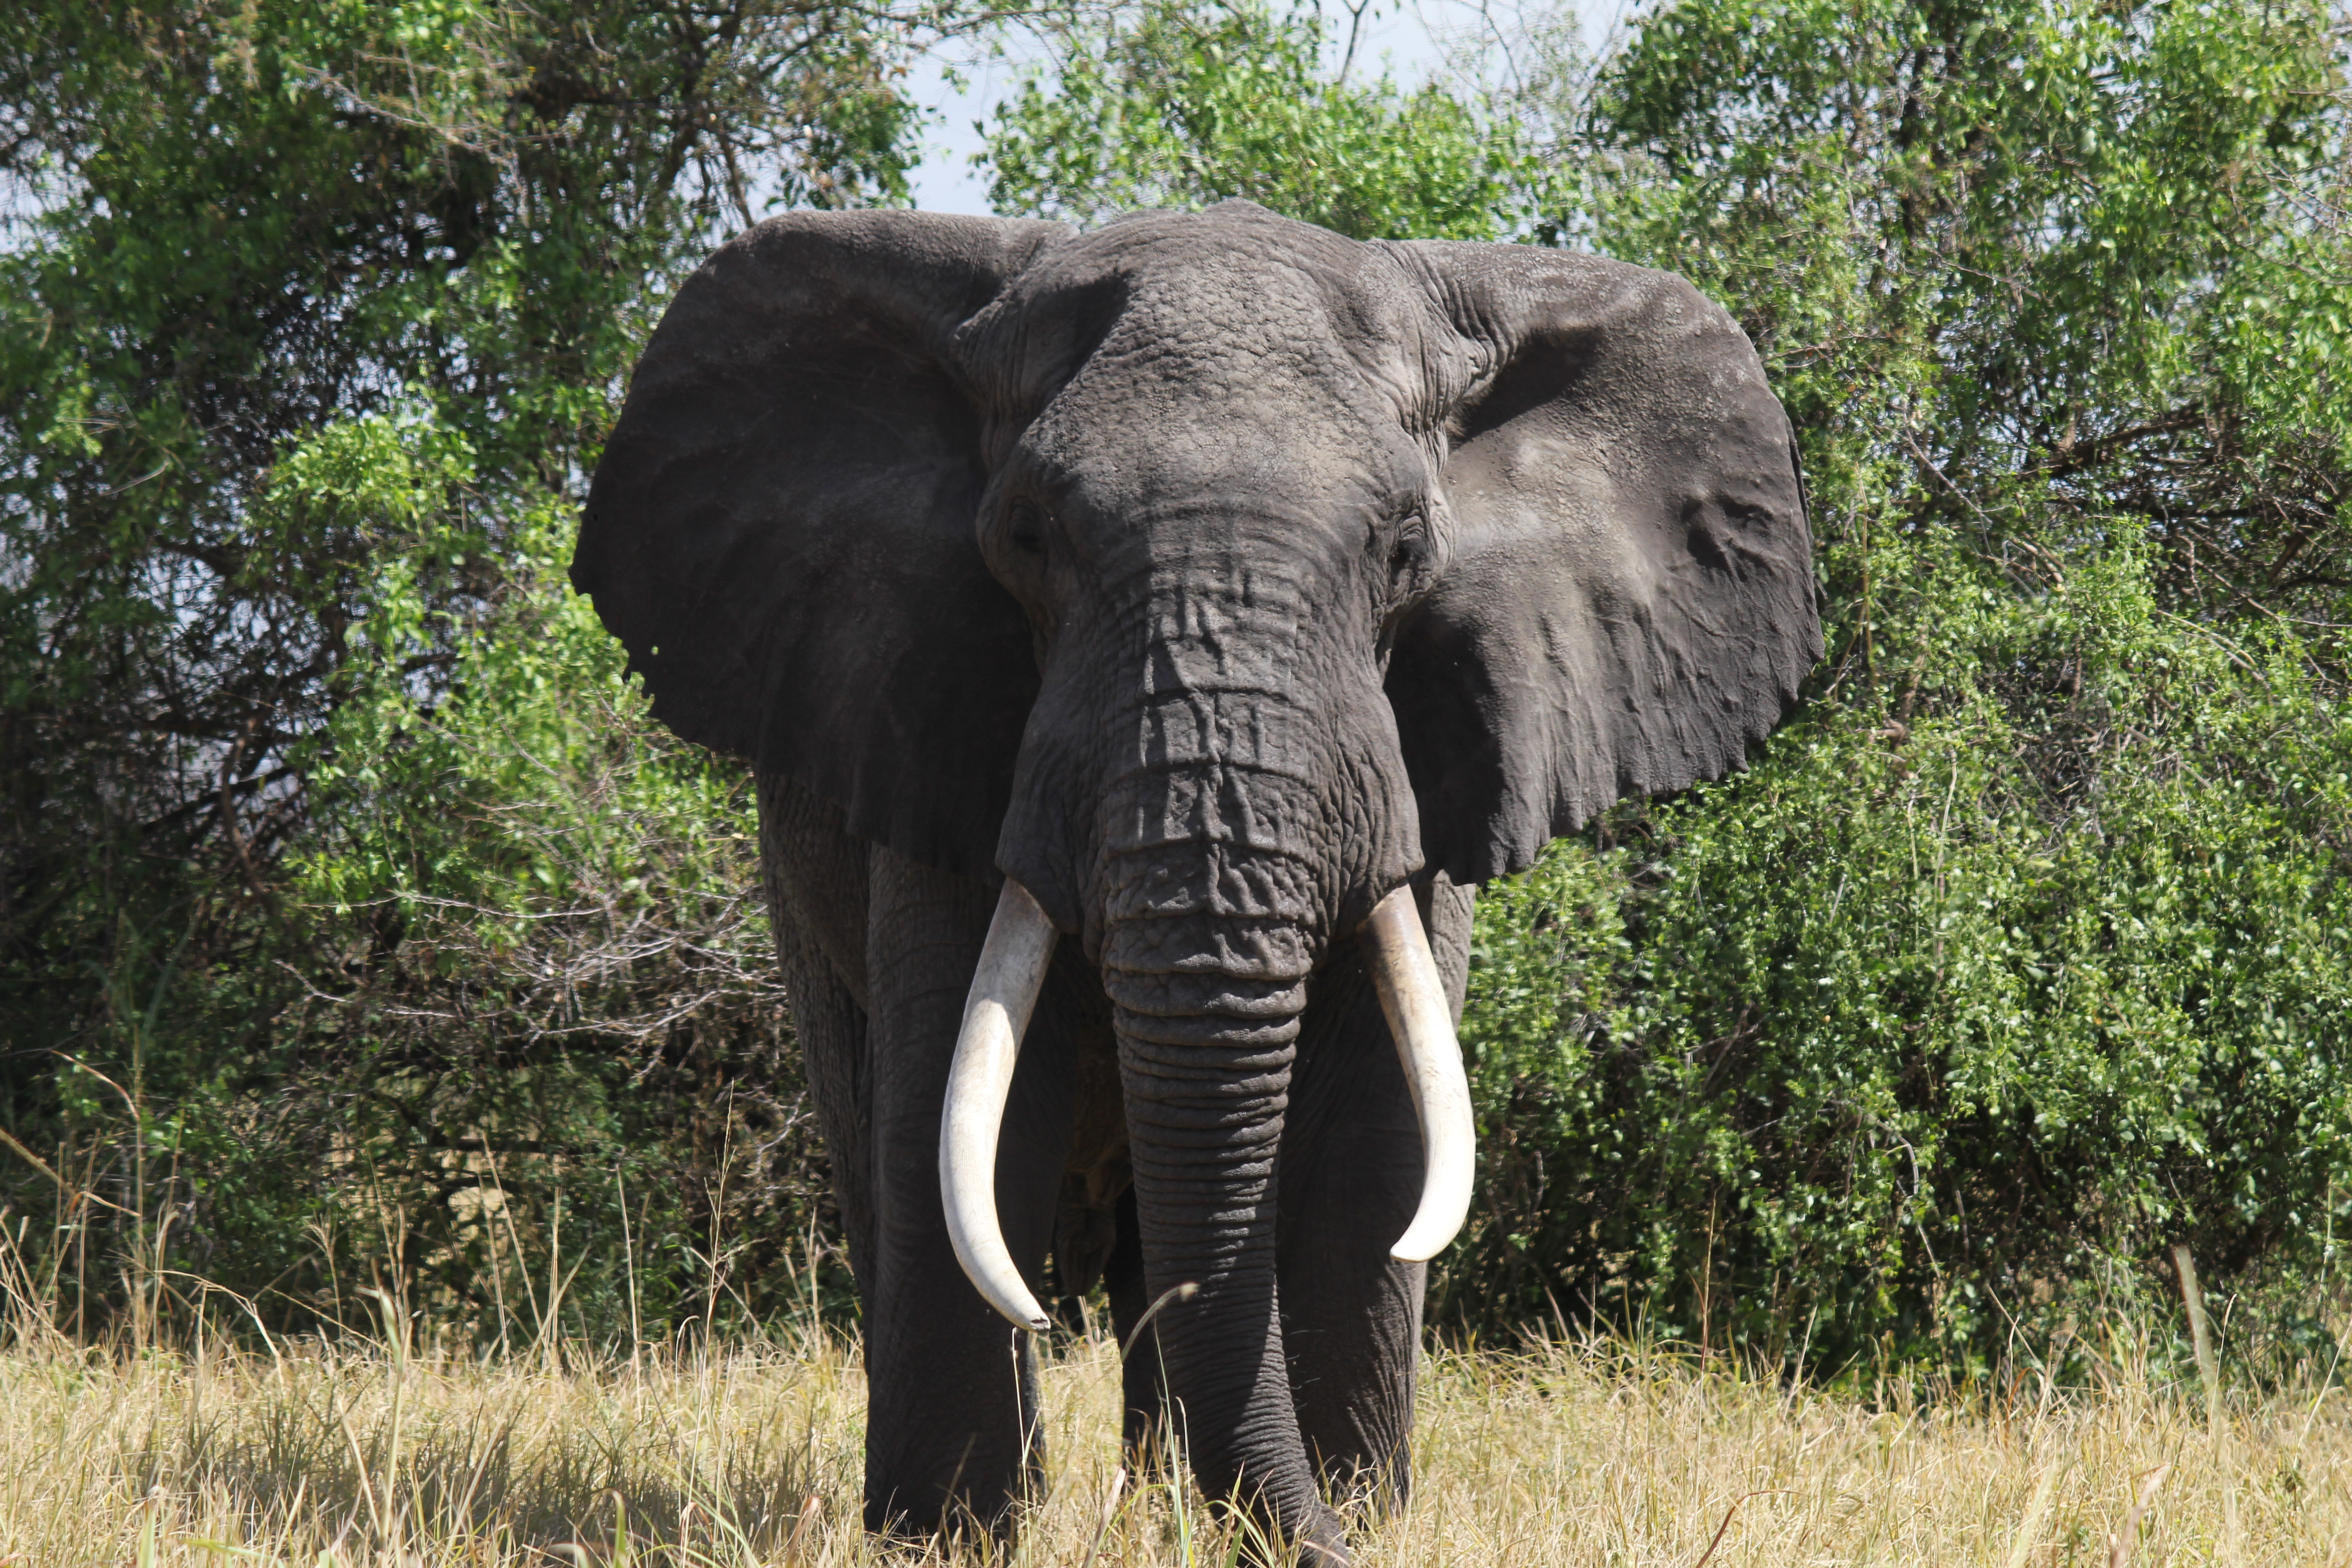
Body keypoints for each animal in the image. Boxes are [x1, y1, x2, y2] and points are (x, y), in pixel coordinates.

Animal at [570, 199, 1818, 1562]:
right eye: (1028, 537)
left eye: (1403, 547)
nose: (1306, 1536)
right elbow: (962, 1125)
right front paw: (952, 1539)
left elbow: (1375, 1138)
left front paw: (1353, 1516)